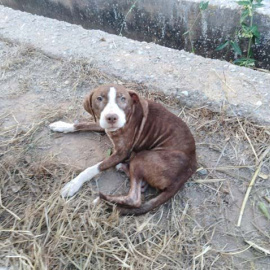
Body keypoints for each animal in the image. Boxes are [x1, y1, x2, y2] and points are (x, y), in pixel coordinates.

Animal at [49, 84, 196, 215]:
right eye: (99, 98)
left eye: (123, 98)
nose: (112, 117)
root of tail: (187, 173)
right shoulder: (101, 123)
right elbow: (82, 124)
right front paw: (63, 126)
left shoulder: (122, 152)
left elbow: (93, 168)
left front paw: (73, 184)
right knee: (139, 187)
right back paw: (125, 170)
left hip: (143, 157)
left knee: (135, 199)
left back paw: (103, 201)